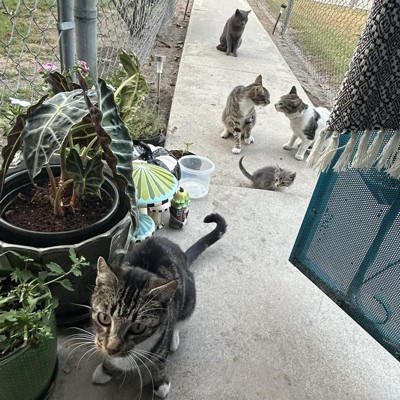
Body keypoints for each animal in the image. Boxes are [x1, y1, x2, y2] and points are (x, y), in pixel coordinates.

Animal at [90, 213, 227, 399]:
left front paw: (161, 384)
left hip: (189, 300)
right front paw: (105, 369)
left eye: (138, 327)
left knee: (179, 321)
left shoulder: (162, 341)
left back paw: (174, 338)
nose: (111, 349)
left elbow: (160, 363)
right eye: (104, 318)